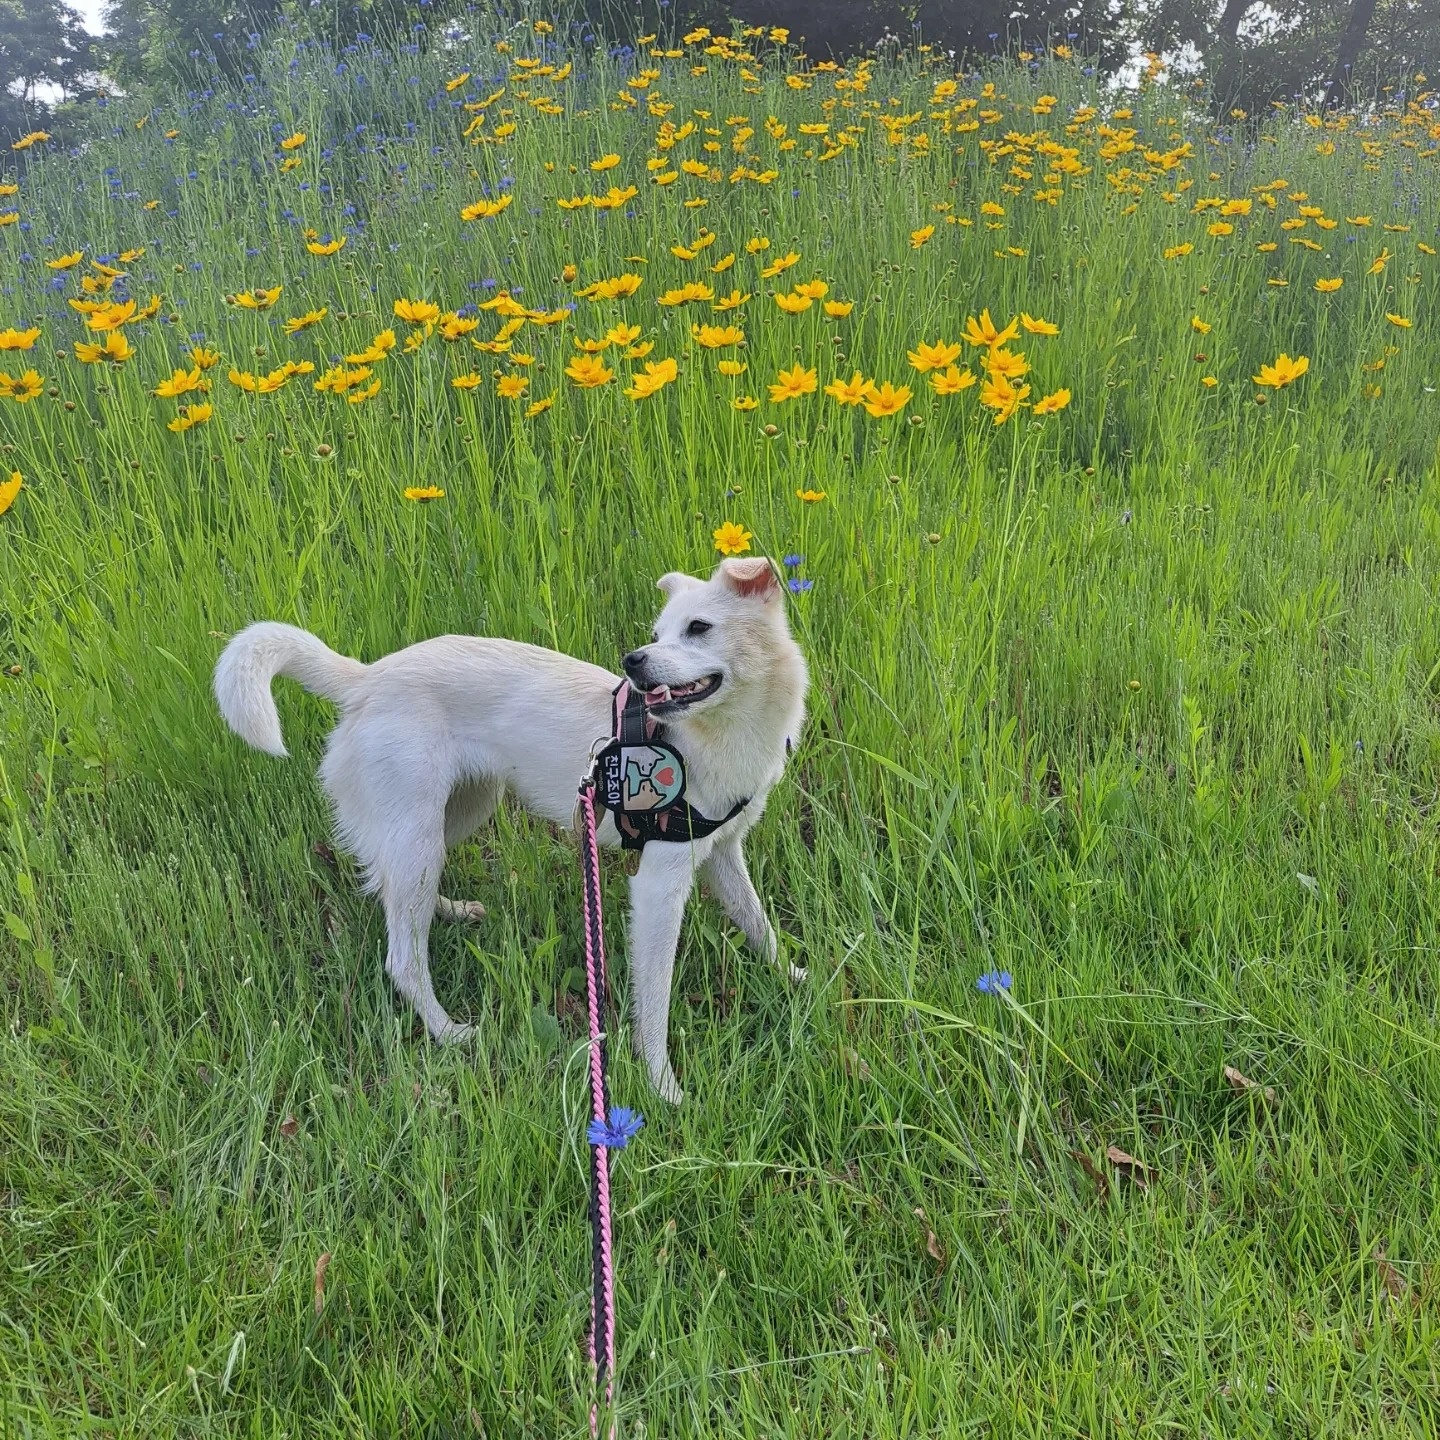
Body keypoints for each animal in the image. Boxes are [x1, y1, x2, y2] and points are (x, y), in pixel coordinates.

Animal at [211, 555, 806, 1094]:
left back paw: (449, 911)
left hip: (451, 818)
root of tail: (366, 678)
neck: (711, 736)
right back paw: (449, 1032)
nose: (633, 661)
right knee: (403, 958)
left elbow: (759, 925)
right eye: (657, 634)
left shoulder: (724, 853)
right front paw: (663, 1086)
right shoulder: (660, 885)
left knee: (391, 890)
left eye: (699, 628)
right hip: (419, 835)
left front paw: (794, 979)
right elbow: (654, 1001)